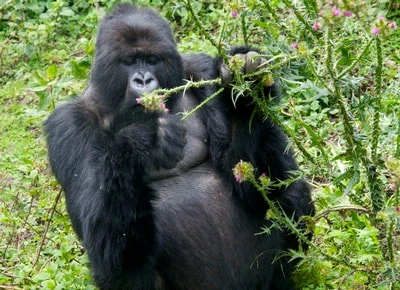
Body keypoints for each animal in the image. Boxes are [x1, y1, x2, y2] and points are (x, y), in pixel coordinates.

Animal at [43, 2, 314, 290]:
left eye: (152, 60)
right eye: (129, 61)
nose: (143, 80)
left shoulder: (201, 69)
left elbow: (256, 184)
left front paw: (247, 95)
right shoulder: (67, 126)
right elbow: (104, 240)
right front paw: (142, 140)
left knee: (290, 192)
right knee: (126, 260)